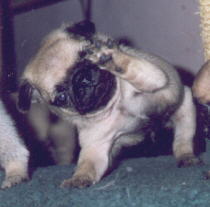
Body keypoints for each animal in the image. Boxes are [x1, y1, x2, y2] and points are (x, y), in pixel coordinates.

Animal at [17, 20, 200, 188]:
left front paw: (111, 60)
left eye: (86, 55)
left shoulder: (154, 77)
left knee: (182, 141)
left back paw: (186, 156)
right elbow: (87, 165)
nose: (82, 78)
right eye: (62, 97)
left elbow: (133, 68)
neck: (116, 103)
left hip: (186, 109)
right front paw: (79, 178)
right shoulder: (95, 146)